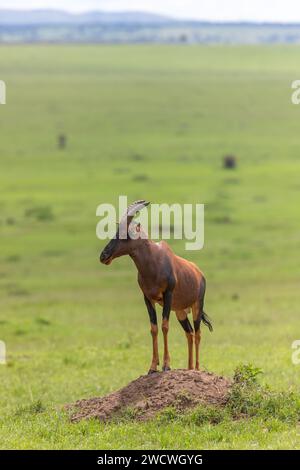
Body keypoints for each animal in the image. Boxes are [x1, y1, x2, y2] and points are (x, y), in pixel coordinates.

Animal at [99, 200, 212, 372]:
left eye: (127, 233)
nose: (104, 256)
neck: (154, 261)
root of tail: (199, 273)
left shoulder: (168, 295)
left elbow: (165, 326)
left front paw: (166, 365)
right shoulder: (147, 298)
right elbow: (153, 328)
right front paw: (152, 366)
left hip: (197, 306)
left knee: (198, 333)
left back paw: (197, 369)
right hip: (180, 311)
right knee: (190, 333)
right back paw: (189, 367)